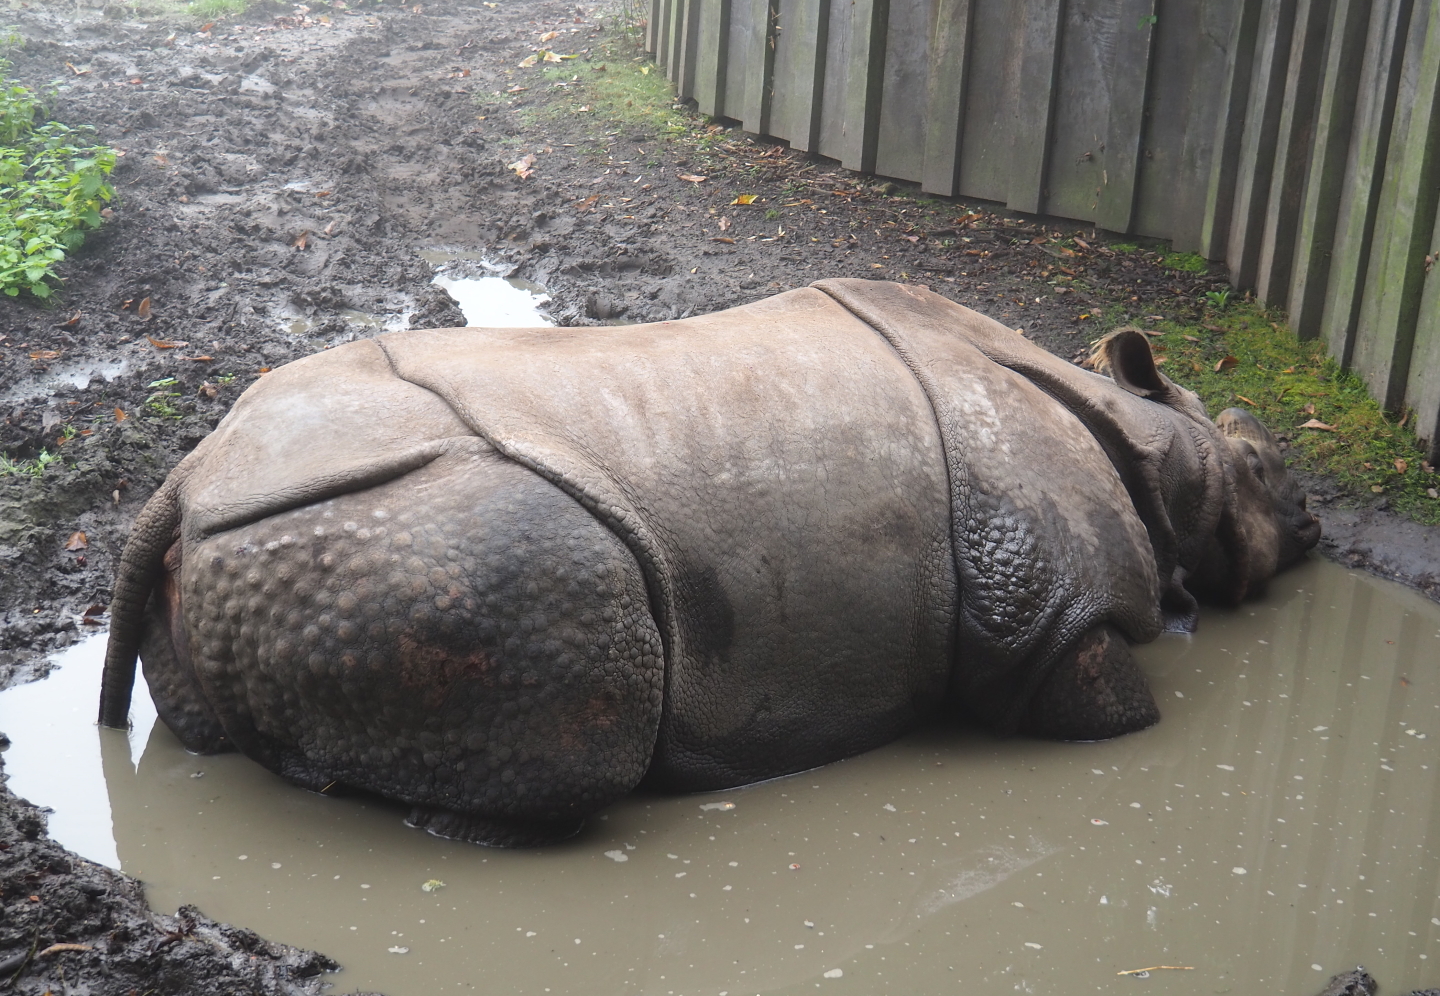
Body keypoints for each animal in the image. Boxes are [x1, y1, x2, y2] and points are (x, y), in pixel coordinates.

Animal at [99, 279, 1320, 846]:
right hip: (401, 537)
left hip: (275, 544)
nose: (1315, 530)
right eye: (1264, 468)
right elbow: (1113, 713)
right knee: (581, 696)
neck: (1156, 442)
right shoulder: (1053, 623)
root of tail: (190, 480)